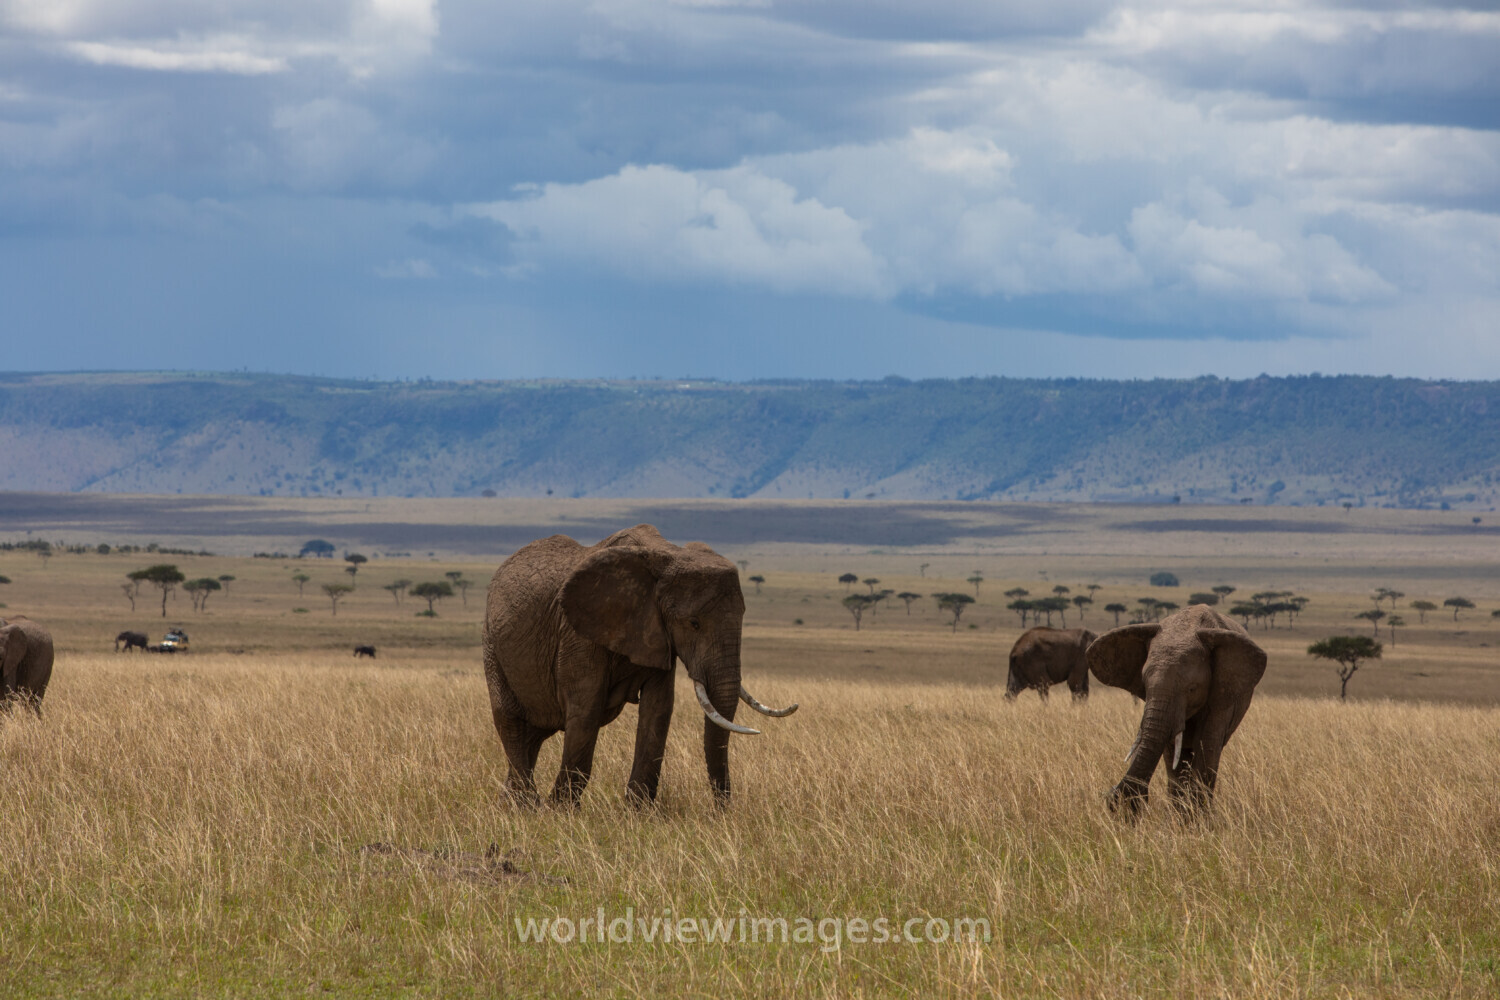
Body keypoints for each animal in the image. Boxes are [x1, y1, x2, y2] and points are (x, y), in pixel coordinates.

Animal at [482, 524, 797, 807]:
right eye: (693, 623)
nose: (722, 810)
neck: (666, 554)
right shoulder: (578, 634)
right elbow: (585, 711)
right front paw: (561, 811)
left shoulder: (657, 634)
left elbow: (658, 710)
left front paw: (637, 812)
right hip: (492, 645)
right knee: (510, 721)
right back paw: (526, 805)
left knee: (533, 735)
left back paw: (508, 804)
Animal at [1087, 604, 1266, 816]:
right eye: (1145, 685)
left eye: (1192, 689)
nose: (1116, 797)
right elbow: (1171, 754)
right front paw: (1181, 816)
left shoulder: (1221, 696)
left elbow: (1207, 747)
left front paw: (1197, 818)